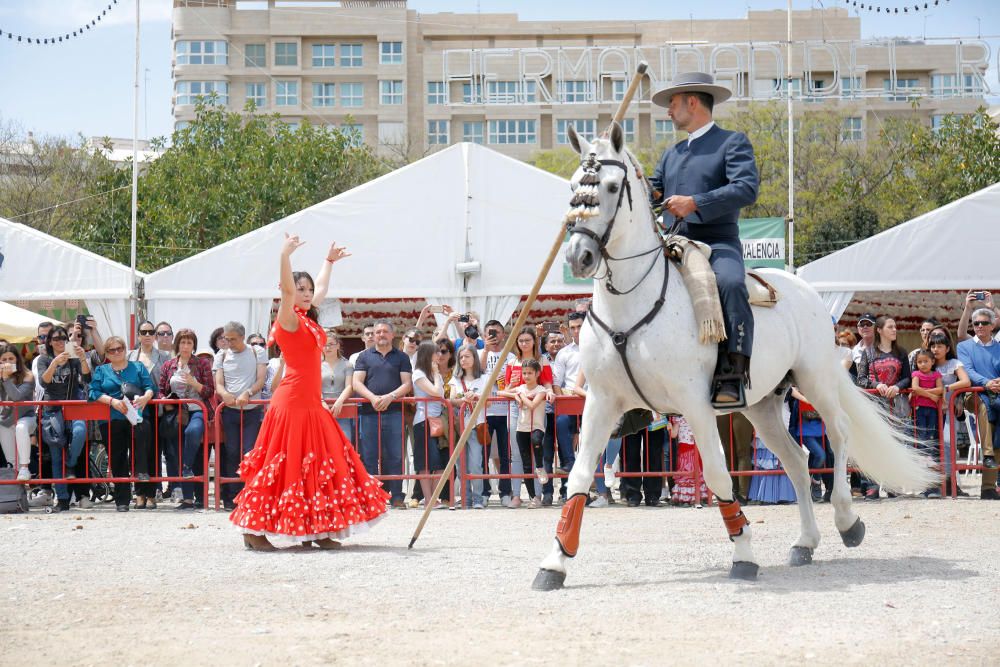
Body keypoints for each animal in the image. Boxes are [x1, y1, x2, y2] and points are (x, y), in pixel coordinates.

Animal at [536, 124, 932, 588]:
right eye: (573, 187)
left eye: (613, 186)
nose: (579, 256)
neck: (632, 306)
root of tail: (802, 288)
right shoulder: (602, 403)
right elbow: (579, 475)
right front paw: (555, 561)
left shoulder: (695, 405)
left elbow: (717, 474)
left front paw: (743, 552)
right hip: (761, 405)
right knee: (797, 462)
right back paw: (805, 543)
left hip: (816, 381)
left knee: (839, 434)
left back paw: (847, 522)